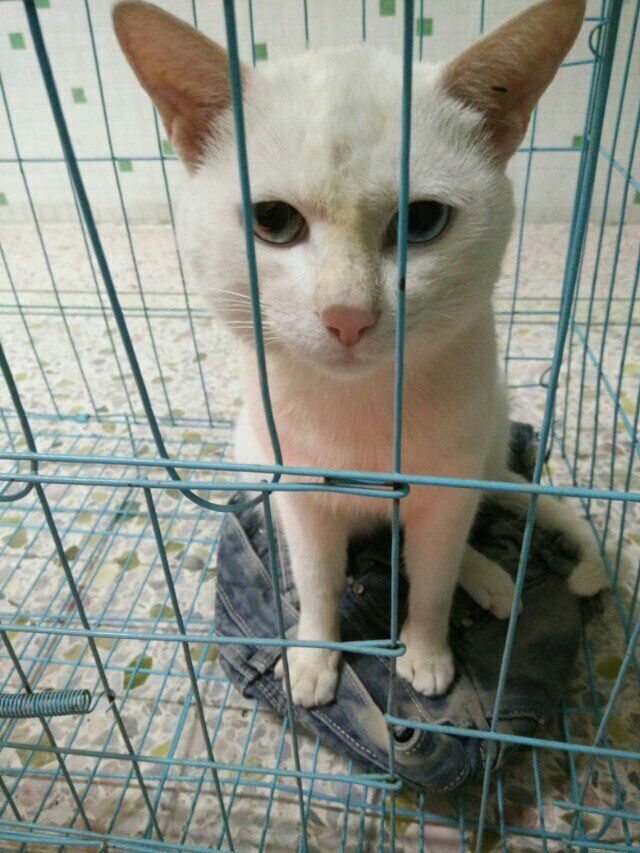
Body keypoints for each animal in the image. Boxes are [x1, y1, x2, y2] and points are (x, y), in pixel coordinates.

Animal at [114, 0, 610, 707]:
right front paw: (317, 656)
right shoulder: (302, 493)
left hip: (485, 434)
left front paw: (426, 650)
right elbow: (320, 580)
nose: (347, 314)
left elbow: (432, 582)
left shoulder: (446, 488)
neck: (362, 407)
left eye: (422, 221)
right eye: (273, 221)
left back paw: (488, 578)